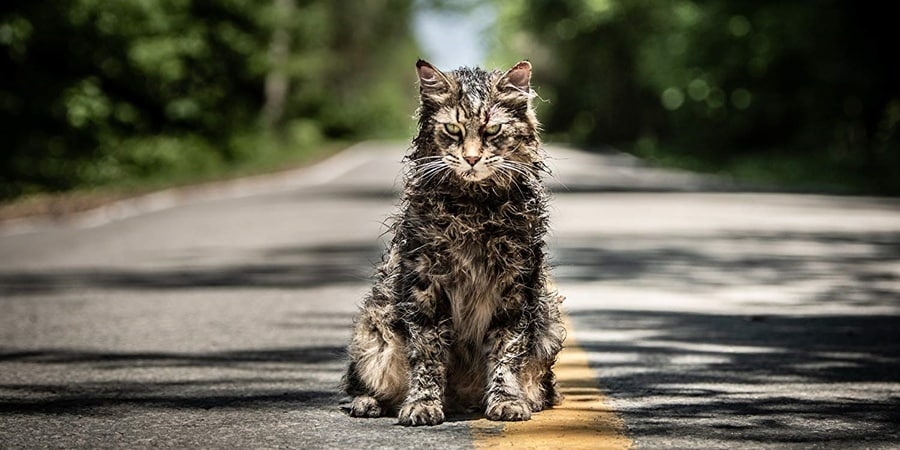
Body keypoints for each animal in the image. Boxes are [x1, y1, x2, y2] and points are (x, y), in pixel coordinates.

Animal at [342, 59, 568, 426]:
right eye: (452, 130)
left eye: (492, 131)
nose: (472, 159)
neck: (474, 209)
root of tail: (461, 400)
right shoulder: (425, 286)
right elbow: (427, 355)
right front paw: (422, 404)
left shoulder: (515, 287)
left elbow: (507, 352)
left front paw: (507, 400)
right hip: (373, 331)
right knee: (361, 383)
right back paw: (368, 403)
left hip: (548, 321)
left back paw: (526, 399)